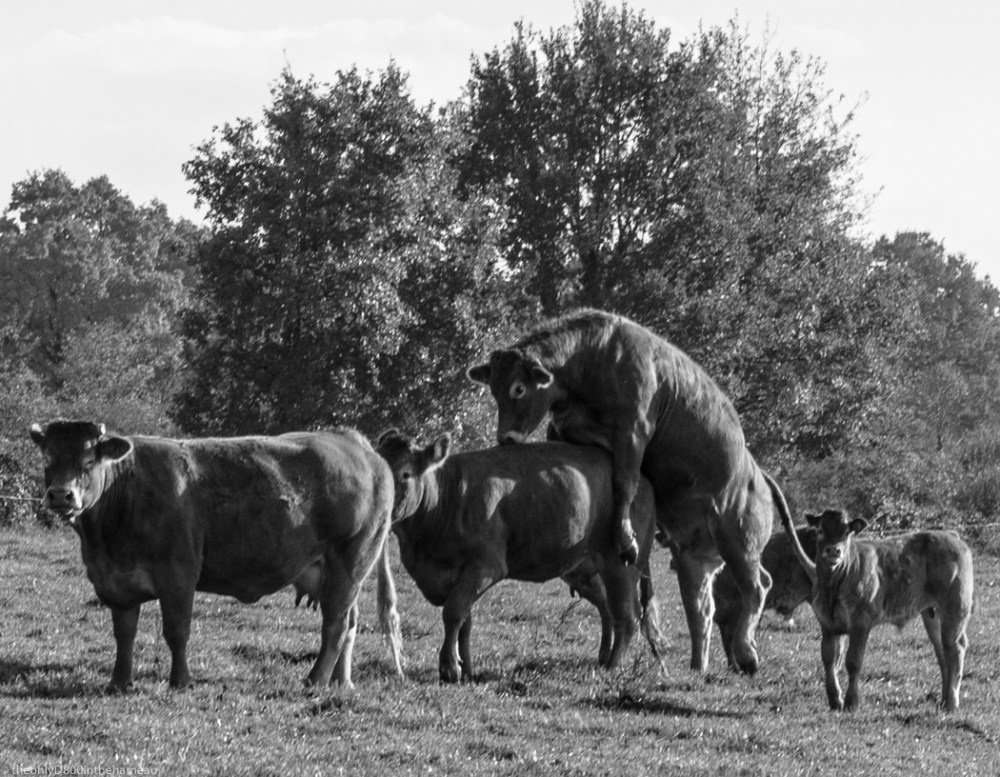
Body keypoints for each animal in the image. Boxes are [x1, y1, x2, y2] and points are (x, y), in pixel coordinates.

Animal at [29, 419, 403, 692]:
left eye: (89, 459)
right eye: (47, 459)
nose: (61, 495)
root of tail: (355, 442)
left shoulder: (178, 575)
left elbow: (176, 631)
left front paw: (180, 681)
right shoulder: (116, 583)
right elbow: (124, 633)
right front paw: (119, 682)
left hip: (350, 561)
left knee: (336, 624)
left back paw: (315, 680)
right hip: (338, 572)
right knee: (350, 622)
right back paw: (340, 682)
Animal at [374, 430, 668, 683]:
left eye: (405, 474)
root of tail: (643, 481)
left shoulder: (485, 567)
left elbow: (453, 612)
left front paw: (449, 668)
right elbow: (465, 621)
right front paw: (465, 667)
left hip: (622, 564)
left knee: (627, 617)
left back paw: (612, 666)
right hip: (582, 570)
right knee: (607, 608)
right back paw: (603, 656)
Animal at [804, 509, 974, 712]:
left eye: (846, 533)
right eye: (820, 530)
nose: (833, 550)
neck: (833, 586)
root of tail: (950, 535)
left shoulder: (861, 622)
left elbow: (853, 661)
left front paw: (852, 701)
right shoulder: (827, 624)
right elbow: (829, 659)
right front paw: (835, 700)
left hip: (955, 608)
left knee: (956, 648)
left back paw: (951, 702)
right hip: (932, 614)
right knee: (942, 651)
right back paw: (943, 699)